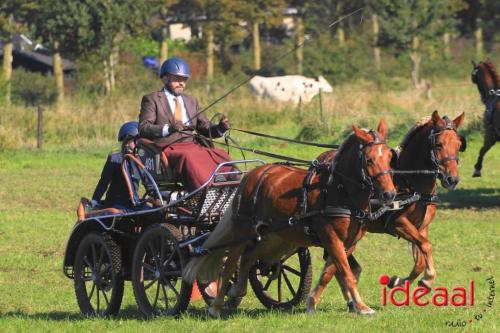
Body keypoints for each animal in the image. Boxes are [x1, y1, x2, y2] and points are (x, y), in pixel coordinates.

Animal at [186, 119, 396, 316]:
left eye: (389, 157)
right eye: (369, 160)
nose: (389, 194)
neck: (339, 190)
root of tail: (251, 175)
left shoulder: (349, 242)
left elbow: (330, 272)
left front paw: (312, 303)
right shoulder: (331, 237)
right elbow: (345, 272)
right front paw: (362, 307)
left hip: (272, 236)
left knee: (248, 258)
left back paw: (237, 290)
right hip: (242, 231)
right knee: (230, 265)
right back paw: (216, 306)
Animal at [306, 111, 466, 312]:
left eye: (459, 145)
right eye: (438, 144)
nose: (452, 179)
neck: (409, 181)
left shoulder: (421, 227)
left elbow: (421, 257)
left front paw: (401, 281)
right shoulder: (398, 224)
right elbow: (426, 246)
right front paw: (426, 280)